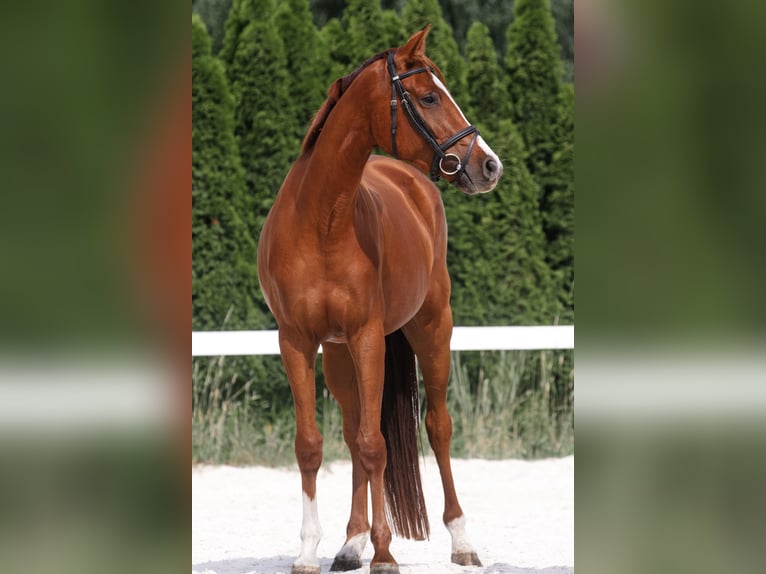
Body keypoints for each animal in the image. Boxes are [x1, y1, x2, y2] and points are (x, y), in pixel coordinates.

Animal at [257, 27, 502, 574]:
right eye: (429, 97)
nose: (489, 165)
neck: (322, 222)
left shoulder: (368, 336)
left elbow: (377, 446)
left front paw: (385, 553)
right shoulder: (296, 342)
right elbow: (312, 446)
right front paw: (309, 551)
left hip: (431, 330)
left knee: (436, 427)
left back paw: (462, 541)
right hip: (338, 356)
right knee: (353, 433)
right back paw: (350, 544)